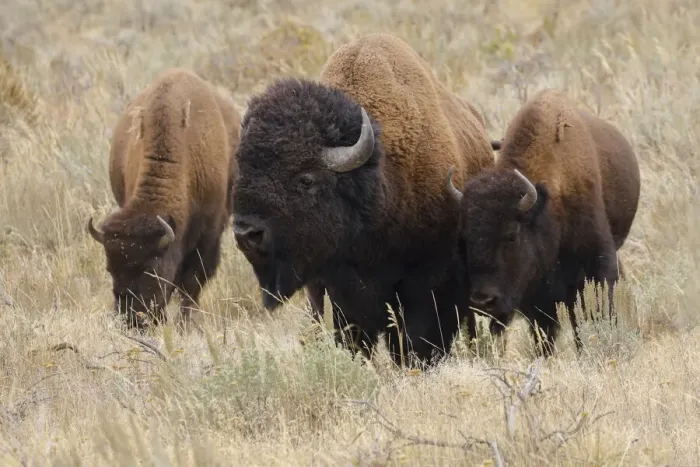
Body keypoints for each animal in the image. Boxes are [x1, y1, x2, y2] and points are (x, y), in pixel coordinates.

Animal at [87, 68, 241, 329]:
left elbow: (192, 282)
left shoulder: (208, 236)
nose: (132, 319)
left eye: (150, 269)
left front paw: (185, 325)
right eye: (110, 269)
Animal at [231, 33, 494, 366]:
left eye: (306, 179)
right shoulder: (344, 290)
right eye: (241, 168)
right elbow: (356, 336)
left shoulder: (428, 281)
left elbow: (420, 336)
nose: (246, 233)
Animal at [448, 89, 641, 355]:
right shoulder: (536, 294)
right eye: (464, 239)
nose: (483, 301)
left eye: (512, 235)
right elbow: (544, 330)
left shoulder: (596, 263)